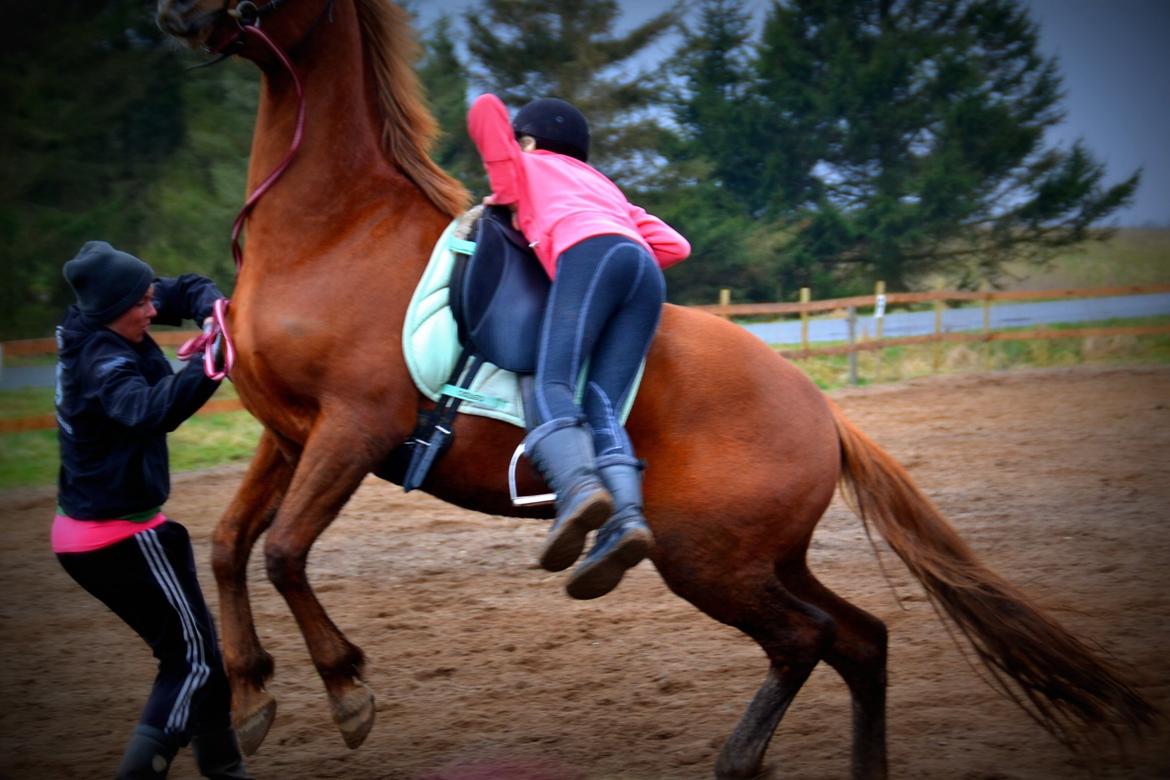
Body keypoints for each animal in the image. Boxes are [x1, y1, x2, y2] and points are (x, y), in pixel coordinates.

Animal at [155, 3, 1151, 776]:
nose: (175, 11)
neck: (335, 227)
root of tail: (824, 414)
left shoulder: (352, 430)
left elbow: (285, 552)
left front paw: (347, 688)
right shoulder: (287, 433)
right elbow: (230, 547)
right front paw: (252, 696)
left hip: (708, 563)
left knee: (807, 641)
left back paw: (733, 749)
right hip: (760, 560)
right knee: (860, 639)